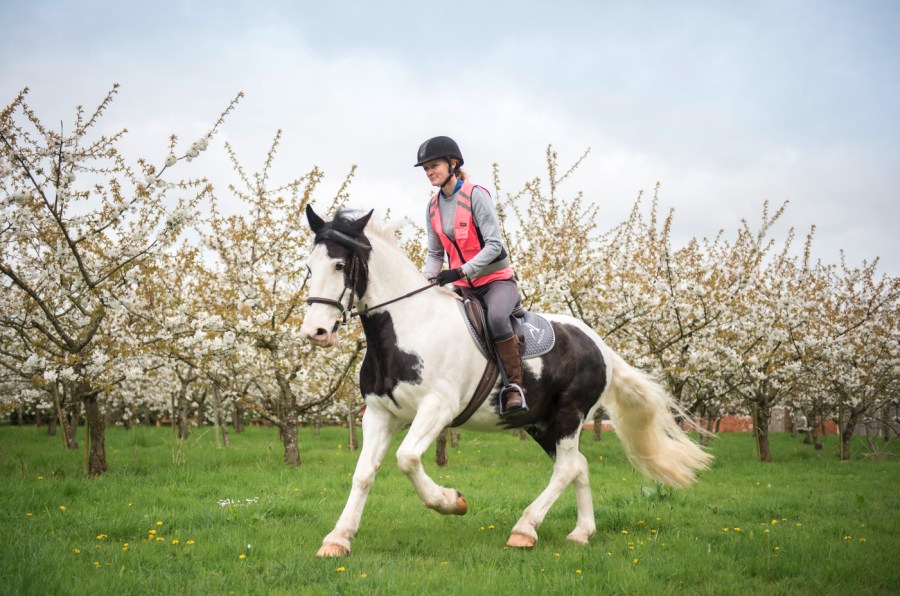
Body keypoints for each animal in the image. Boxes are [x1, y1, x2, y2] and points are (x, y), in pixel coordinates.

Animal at [298, 206, 712, 560]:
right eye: (308, 267)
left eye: (339, 264)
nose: (315, 332)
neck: (408, 326)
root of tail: (600, 346)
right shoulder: (380, 414)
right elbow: (364, 474)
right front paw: (338, 538)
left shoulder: (437, 408)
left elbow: (407, 458)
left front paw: (452, 502)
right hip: (541, 424)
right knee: (578, 465)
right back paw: (581, 532)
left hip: (569, 414)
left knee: (566, 469)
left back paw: (524, 530)